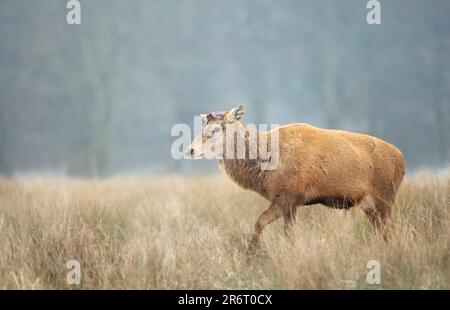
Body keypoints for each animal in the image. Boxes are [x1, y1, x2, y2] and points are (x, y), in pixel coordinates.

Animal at [185, 105, 404, 253]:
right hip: (371, 207)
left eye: (214, 130)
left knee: (391, 233)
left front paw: (251, 255)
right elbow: (287, 231)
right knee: (385, 234)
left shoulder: (287, 195)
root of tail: (402, 160)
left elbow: (260, 222)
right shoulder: (290, 202)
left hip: (385, 198)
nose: (190, 149)